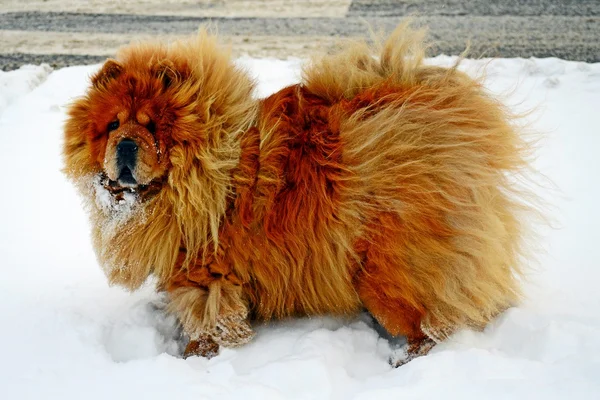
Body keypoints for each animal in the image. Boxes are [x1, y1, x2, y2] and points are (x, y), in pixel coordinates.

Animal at [63, 22, 528, 366]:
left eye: (151, 127)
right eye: (112, 125)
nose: (125, 145)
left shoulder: (206, 279)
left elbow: (206, 322)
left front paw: (194, 359)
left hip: (386, 274)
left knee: (430, 324)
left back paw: (408, 361)